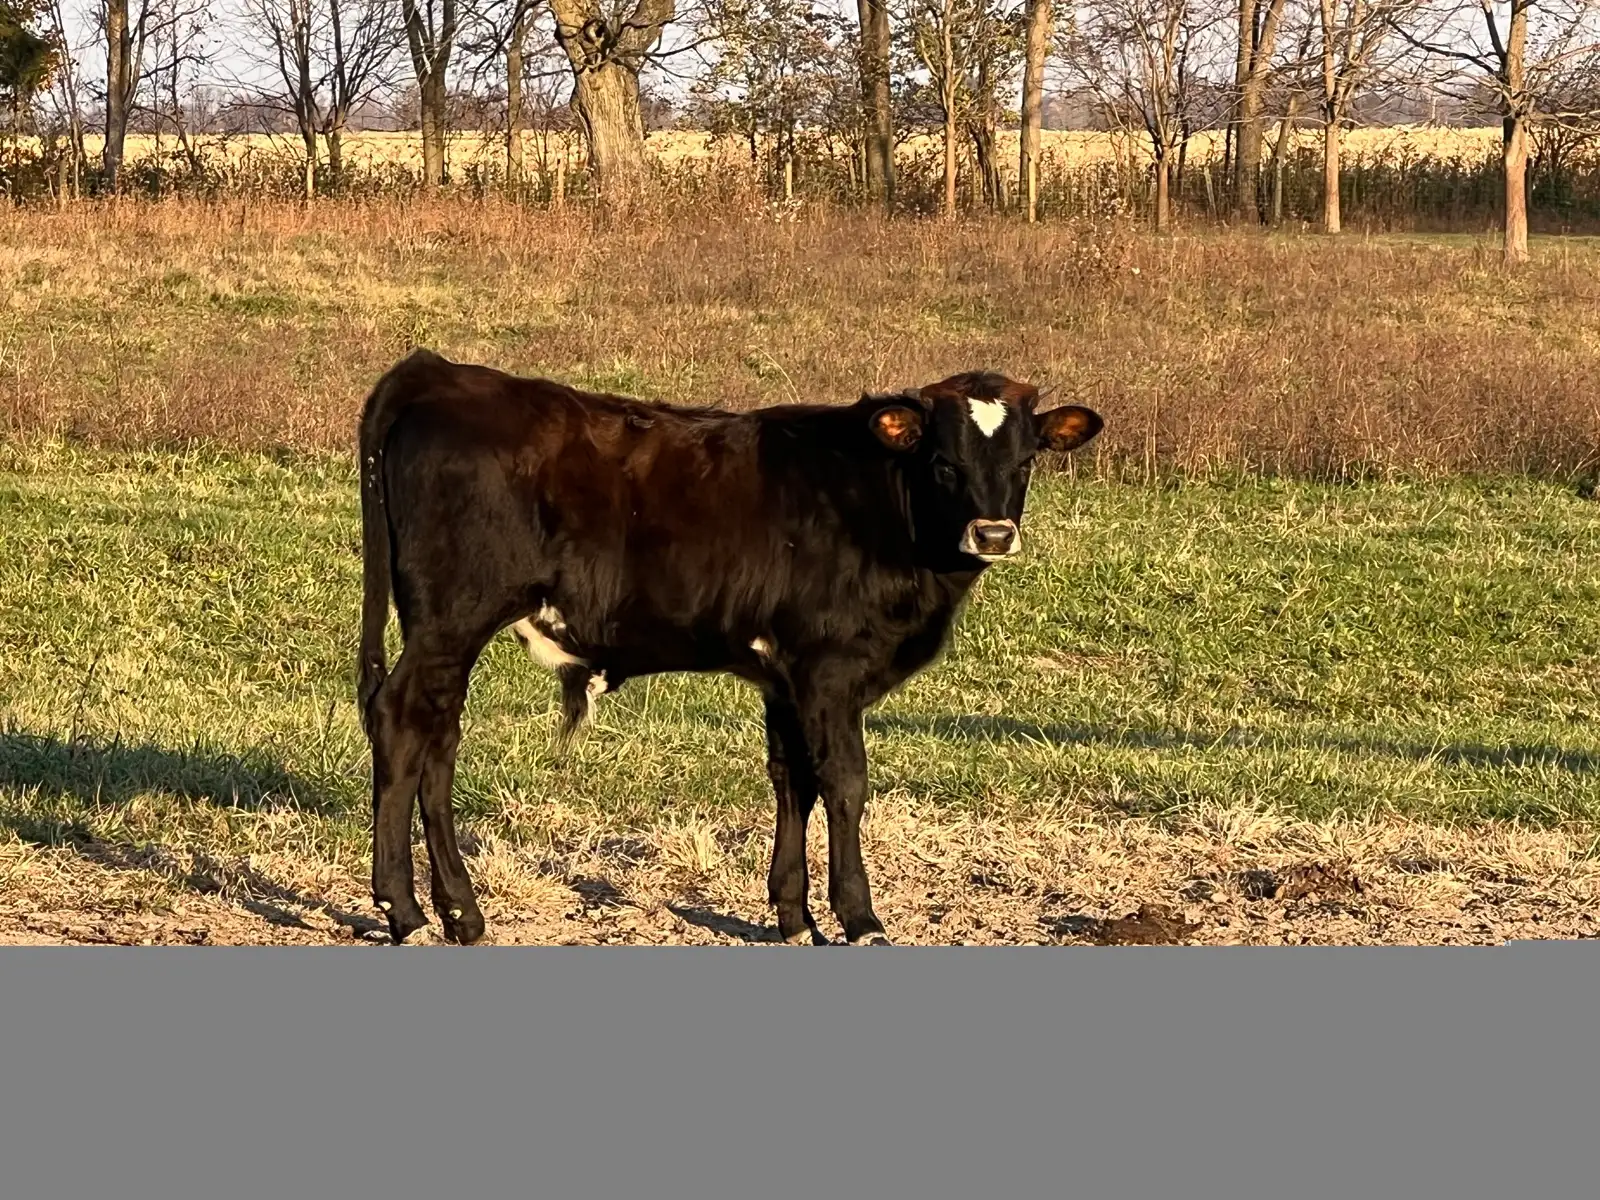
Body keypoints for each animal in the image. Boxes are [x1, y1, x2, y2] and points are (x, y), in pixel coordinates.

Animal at [356, 350, 1103, 946]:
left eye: (1026, 460)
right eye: (944, 462)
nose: (993, 534)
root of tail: (439, 371)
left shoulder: (786, 677)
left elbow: (793, 780)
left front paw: (796, 918)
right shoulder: (829, 669)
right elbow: (845, 783)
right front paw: (859, 919)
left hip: (447, 635)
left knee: (437, 740)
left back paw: (460, 914)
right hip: (452, 620)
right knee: (400, 723)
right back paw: (406, 913)